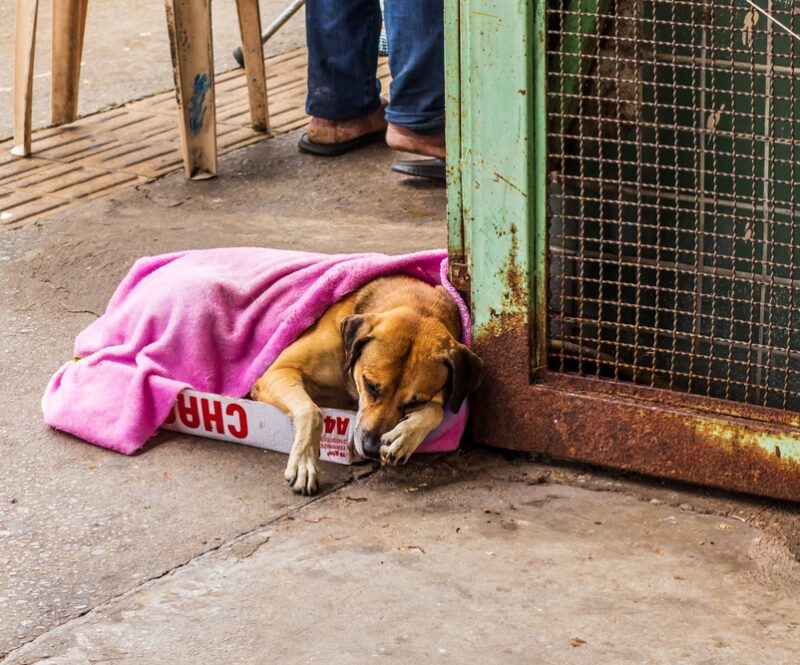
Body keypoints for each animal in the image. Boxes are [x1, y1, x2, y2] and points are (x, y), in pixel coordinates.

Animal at [250, 274, 484, 492]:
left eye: (415, 402)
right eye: (370, 385)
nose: (371, 449)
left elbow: (438, 410)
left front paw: (403, 437)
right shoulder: (278, 372)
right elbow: (312, 411)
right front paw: (304, 463)